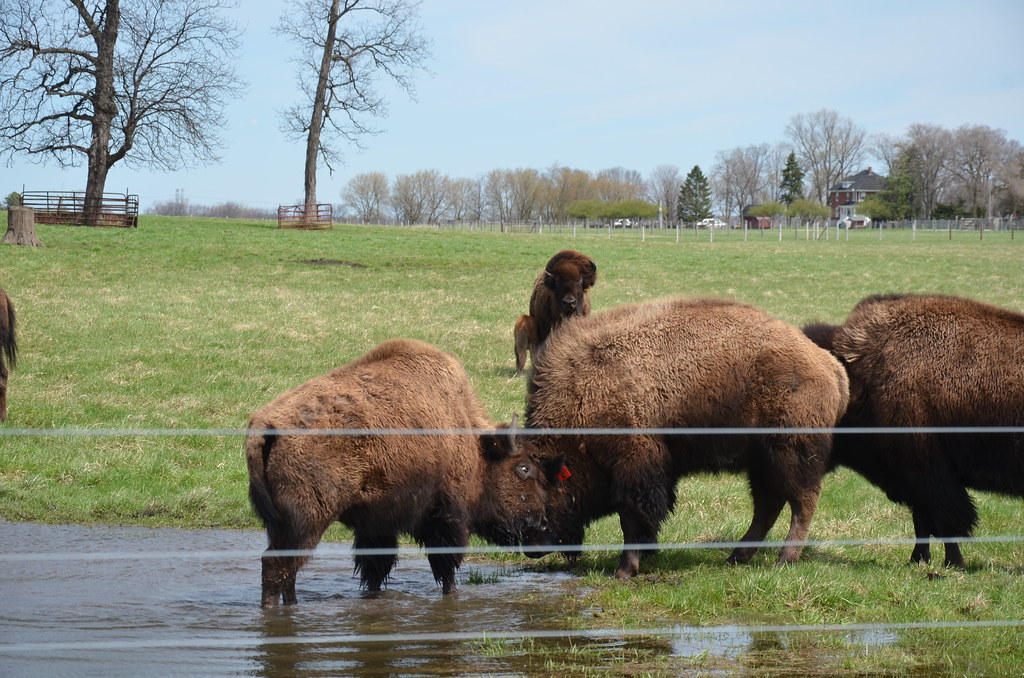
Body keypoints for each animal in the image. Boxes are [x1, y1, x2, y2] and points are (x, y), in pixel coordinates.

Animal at [246, 338, 565, 606]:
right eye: (523, 469)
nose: (543, 524)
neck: (472, 441)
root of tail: (265, 424)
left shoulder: (377, 524)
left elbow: (376, 569)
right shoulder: (446, 517)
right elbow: (446, 568)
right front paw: (452, 596)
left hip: (282, 525)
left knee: (288, 570)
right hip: (306, 522)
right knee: (277, 566)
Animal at [516, 297, 850, 578]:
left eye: (543, 488)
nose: (531, 547)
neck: (583, 393)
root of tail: (829, 366)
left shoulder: (634, 468)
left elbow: (632, 518)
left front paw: (625, 570)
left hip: (790, 454)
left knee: (802, 502)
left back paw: (784, 559)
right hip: (761, 464)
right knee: (769, 507)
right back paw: (736, 557)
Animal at [804, 293, 1024, 568]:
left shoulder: (929, 472)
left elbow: (944, 521)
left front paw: (953, 563)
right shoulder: (912, 477)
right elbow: (922, 522)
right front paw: (918, 559)